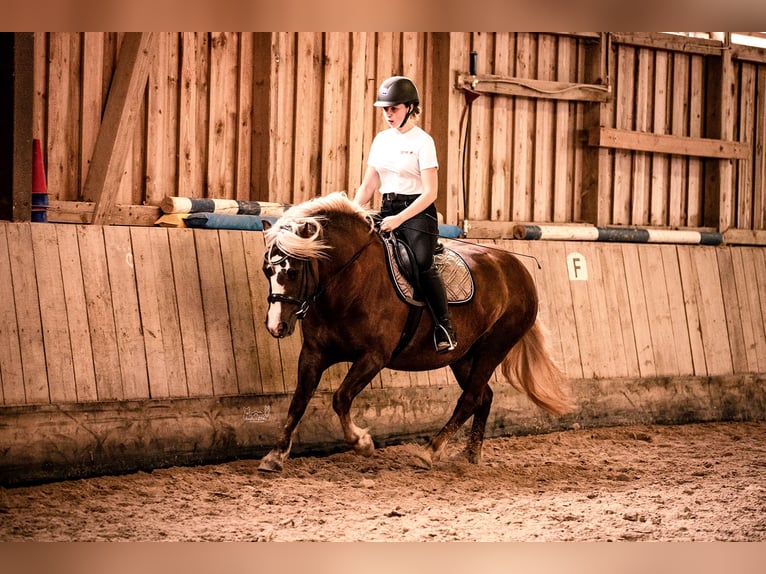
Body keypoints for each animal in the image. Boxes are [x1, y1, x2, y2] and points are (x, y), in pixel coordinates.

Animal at [260, 192, 572, 472]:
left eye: (293, 271)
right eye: (267, 270)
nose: (276, 326)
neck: (351, 282)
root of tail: (516, 268)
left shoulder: (373, 357)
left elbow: (341, 398)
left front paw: (362, 443)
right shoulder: (313, 353)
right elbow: (299, 401)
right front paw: (275, 456)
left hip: (494, 348)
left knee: (470, 398)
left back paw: (429, 452)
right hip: (464, 356)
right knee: (483, 397)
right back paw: (470, 455)